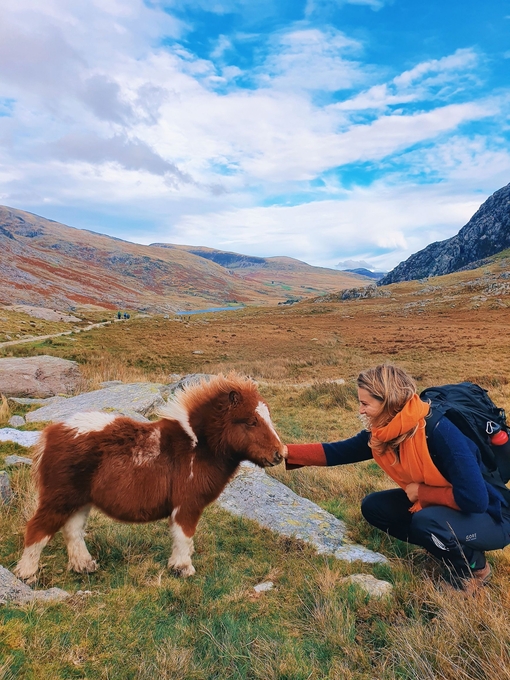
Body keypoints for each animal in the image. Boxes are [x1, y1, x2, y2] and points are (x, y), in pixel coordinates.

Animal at [15, 373, 285, 580]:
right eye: (251, 421)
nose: (280, 454)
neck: (198, 446)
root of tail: (52, 433)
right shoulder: (187, 505)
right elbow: (184, 536)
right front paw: (183, 568)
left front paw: (179, 566)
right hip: (59, 498)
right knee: (37, 530)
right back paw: (27, 574)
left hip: (79, 500)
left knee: (73, 531)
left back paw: (84, 566)